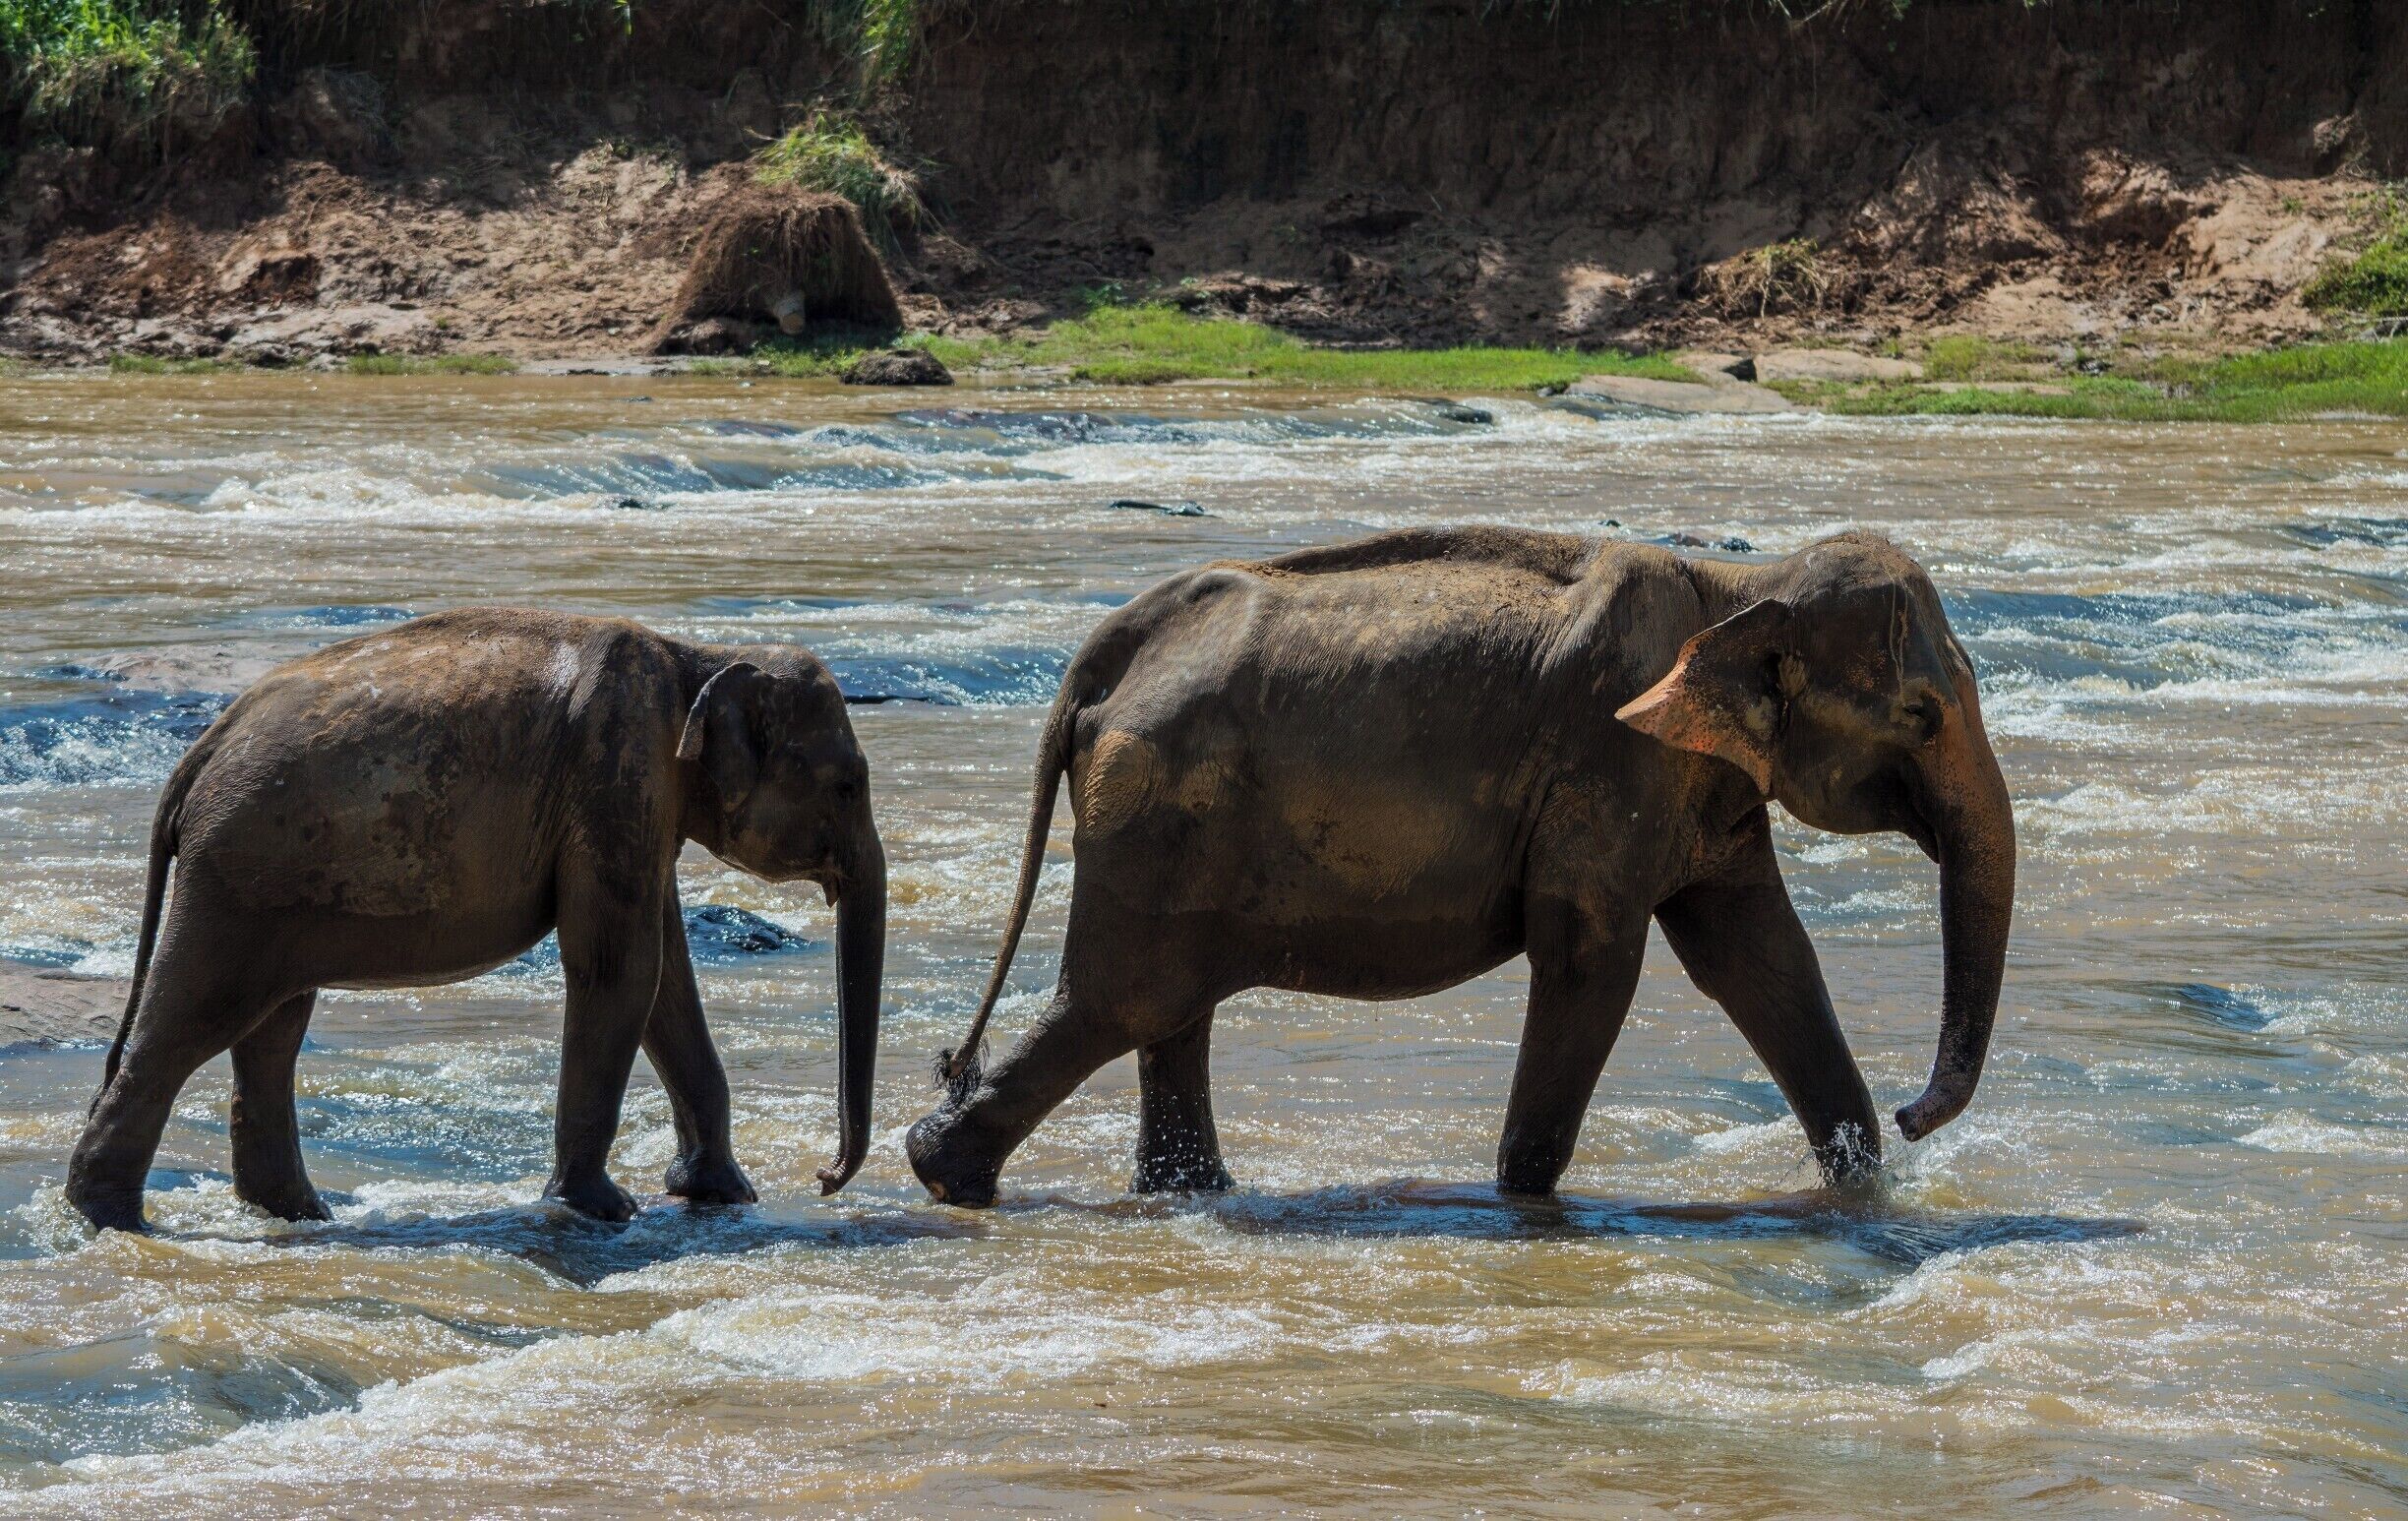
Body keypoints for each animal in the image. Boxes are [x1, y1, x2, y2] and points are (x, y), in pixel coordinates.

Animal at [66, 608, 886, 1232]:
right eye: (849, 786)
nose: (823, 1177)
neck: (697, 656)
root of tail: (193, 759)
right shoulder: (615, 771)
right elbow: (621, 968)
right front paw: (603, 1210)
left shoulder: (638, 803)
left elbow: (665, 978)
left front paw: (724, 1195)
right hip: (238, 878)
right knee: (196, 1022)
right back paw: (112, 1219)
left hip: (270, 883)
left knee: (270, 1033)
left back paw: (301, 1215)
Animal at [907, 526, 2014, 1207]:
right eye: (1921, 714)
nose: (1916, 1116)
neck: (1735, 589)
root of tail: (1106, 656)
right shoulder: (1608, 764)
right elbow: (1592, 962)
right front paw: (1521, 1201)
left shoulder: (1702, 789)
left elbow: (1762, 959)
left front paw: (1862, 1192)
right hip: (1155, 813)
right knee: (1120, 998)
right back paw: (948, 1174)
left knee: (1164, 1010)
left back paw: (1184, 1195)